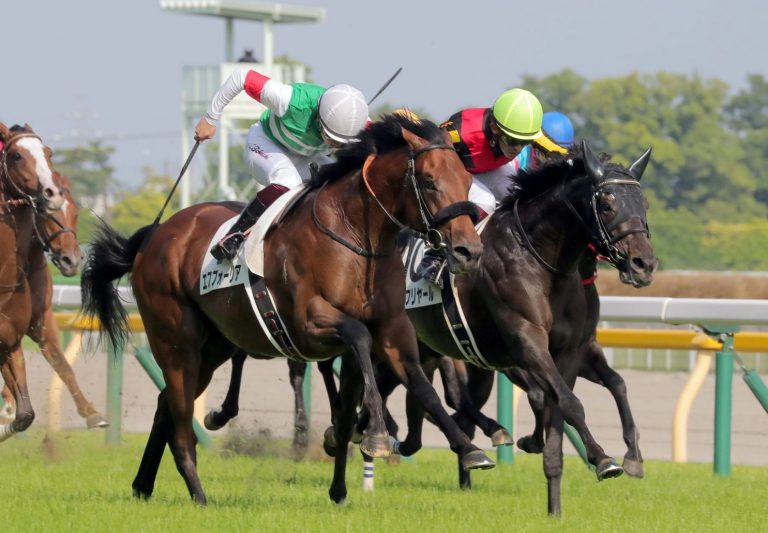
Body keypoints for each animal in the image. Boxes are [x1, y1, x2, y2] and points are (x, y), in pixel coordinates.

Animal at [0, 172, 109, 430]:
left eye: (76, 211)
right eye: (45, 214)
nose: (72, 260)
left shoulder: (41, 320)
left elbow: (61, 363)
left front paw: (91, 413)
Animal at [81, 114, 488, 504]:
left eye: (468, 181)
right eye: (430, 181)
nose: (469, 250)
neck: (355, 237)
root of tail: (156, 234)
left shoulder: (391, 332)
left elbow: (419, 386)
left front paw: (468, 448)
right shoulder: (310, 324)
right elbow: (357, 338)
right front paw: (374, 434)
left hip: (213, 346)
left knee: (166, 403)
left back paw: (143, 484)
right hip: (176, 341)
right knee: (180, 423)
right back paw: (198, 494)